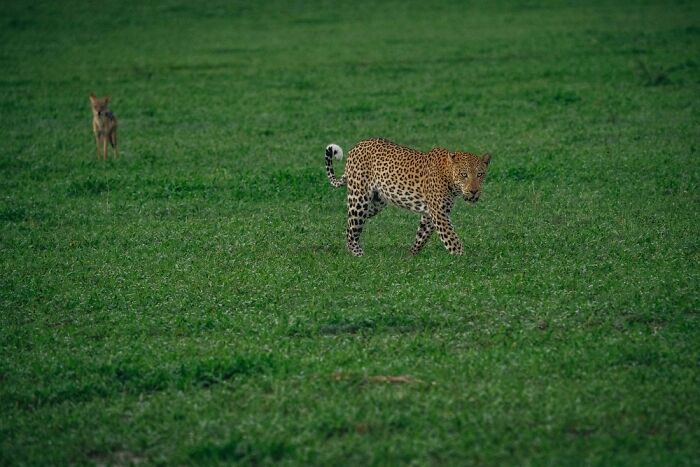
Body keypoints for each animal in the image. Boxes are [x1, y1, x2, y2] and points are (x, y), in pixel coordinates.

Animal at [325, 138, 491, 256]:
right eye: (464, 175)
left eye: (480, 174)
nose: (474, 191)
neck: (448, 175)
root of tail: (357, 146)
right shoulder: (439, 213)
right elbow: (452, 239)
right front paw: (463, 259)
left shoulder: (430, 214)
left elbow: (421, 236)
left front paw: (410, 256)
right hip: (359, 199)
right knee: (353, 225)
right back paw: (358, 255)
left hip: (374, 204)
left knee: (350, 225)